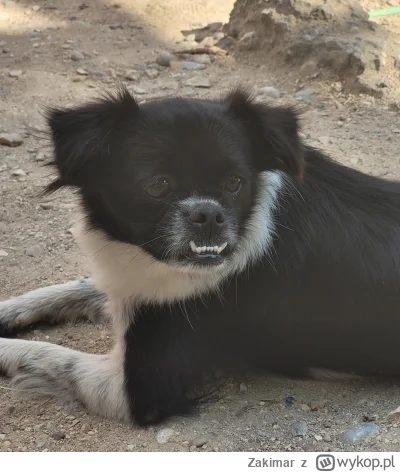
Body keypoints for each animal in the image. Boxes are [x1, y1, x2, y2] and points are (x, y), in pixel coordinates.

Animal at [0, 86, 400, 426]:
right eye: (157, 185)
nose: (208, 214)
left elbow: (42, 353)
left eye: (235, 182)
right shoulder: (139, 283)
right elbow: (69, 291)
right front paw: (8, 311)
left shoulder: (137, 390)